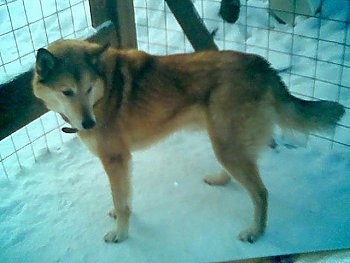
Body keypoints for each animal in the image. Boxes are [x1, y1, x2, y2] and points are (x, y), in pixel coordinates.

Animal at [31, 39, 344, 245]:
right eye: (67, 91)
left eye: (87, 89)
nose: (89, 124)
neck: (105, 88)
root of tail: (264, 66)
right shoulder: (122, 162)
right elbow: (124, 198)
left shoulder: (115, 159)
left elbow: (122, 203)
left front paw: (120, 233)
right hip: (225, 142)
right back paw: (221, 180)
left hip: (227, 145)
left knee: (261, 193)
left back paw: (256, 231)